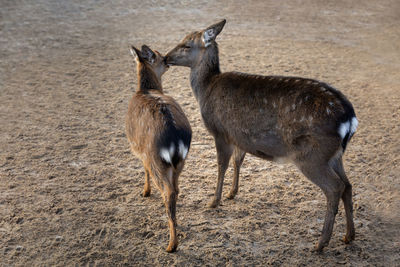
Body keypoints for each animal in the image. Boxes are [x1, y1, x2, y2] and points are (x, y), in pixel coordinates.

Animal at [126, 44, 192, 253]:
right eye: (162, 56)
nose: (168, 60)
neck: (146, 89)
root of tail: (175, 138)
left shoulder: (139, 149)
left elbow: (144, 169)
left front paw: (145, 192)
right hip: (181, 162)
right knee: (176, 189)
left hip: (156, 159)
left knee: (168, 192)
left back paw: (171, 245)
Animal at [164, 19, 358, 252]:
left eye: (186, 45)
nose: (165, 57)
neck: (206, 89)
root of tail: (349, 119)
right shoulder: (239, 136)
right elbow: (238, 161)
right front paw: (232, 193)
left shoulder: (220, 131)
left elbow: (221, 165)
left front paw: (213, 201)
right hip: (335, 155)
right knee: (348, 185)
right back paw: (349, 236)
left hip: (312, 156)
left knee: (335, 187)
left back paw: (320, 244)